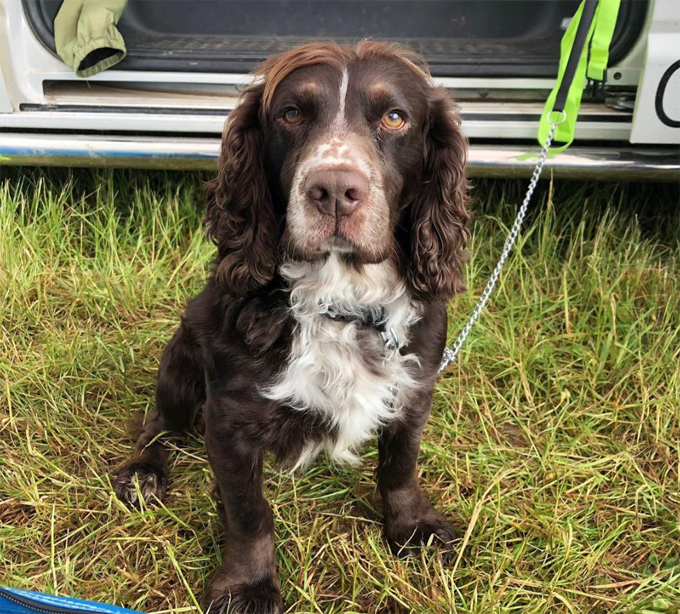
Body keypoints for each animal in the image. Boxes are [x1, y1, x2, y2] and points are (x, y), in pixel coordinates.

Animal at [115, 42, 468, 614]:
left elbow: (400, 467)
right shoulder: (229, 418)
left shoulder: (414, 387)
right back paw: (144, 472)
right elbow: (248, 513)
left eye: (395, 117)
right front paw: (247, 586)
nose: (334, 190)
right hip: (181, 357)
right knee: (159, 422)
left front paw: (412, 528)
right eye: (292, 114)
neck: (341, 300)